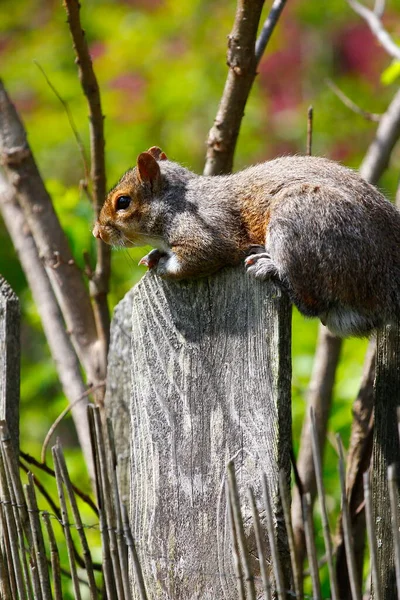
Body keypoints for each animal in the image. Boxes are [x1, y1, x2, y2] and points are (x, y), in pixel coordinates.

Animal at [92, 146, 400, 338]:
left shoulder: (206, 230)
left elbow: (198, 258)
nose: (97, 233)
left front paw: (163, 265)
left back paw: (270, 266)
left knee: (313, 304)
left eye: (123, 202)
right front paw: (154, 254)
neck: (176, 201)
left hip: (301, 221)